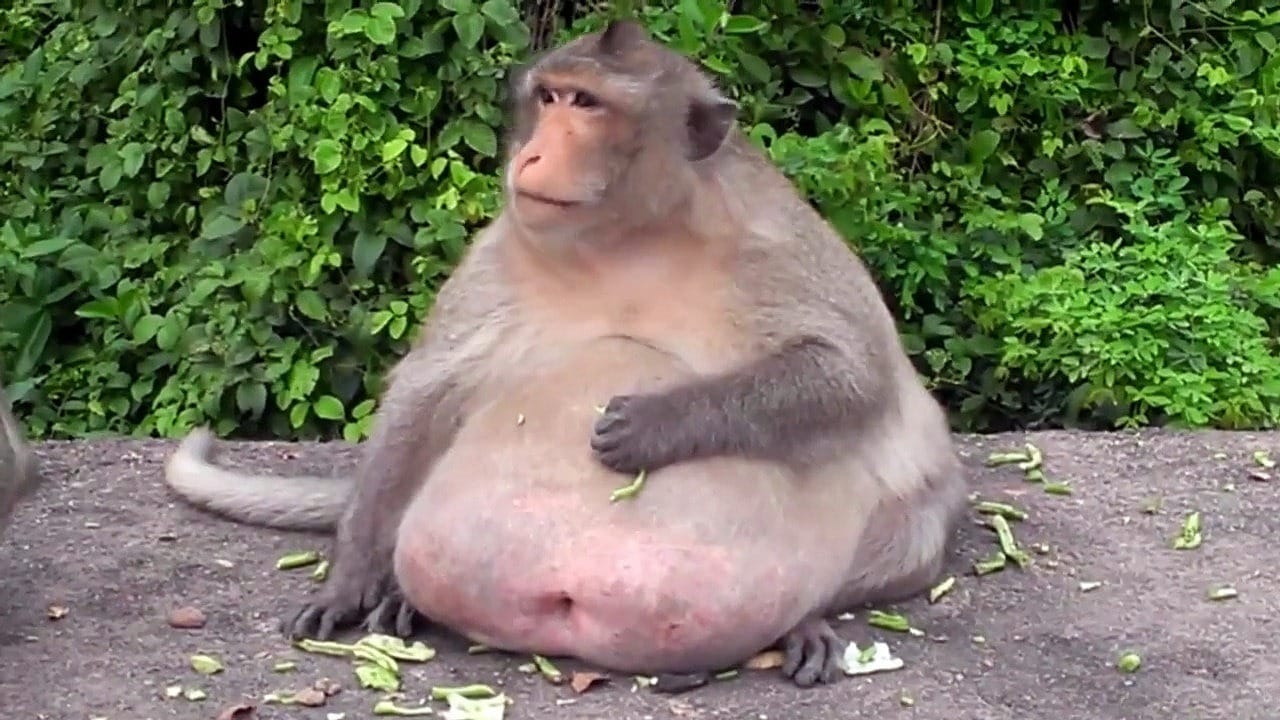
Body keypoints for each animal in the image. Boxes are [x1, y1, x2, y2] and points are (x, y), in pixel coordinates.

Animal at [163, 19, 968, 690]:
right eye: (548, 96)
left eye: (586, 103)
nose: (535, 151)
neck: (629, 237)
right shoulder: (506, 248)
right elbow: (426, 390)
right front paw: (353, 576)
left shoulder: (771, 243)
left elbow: (850, 374)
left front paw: (655, 424)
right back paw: (401, 598)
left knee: (913, 528)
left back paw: (803, 621)